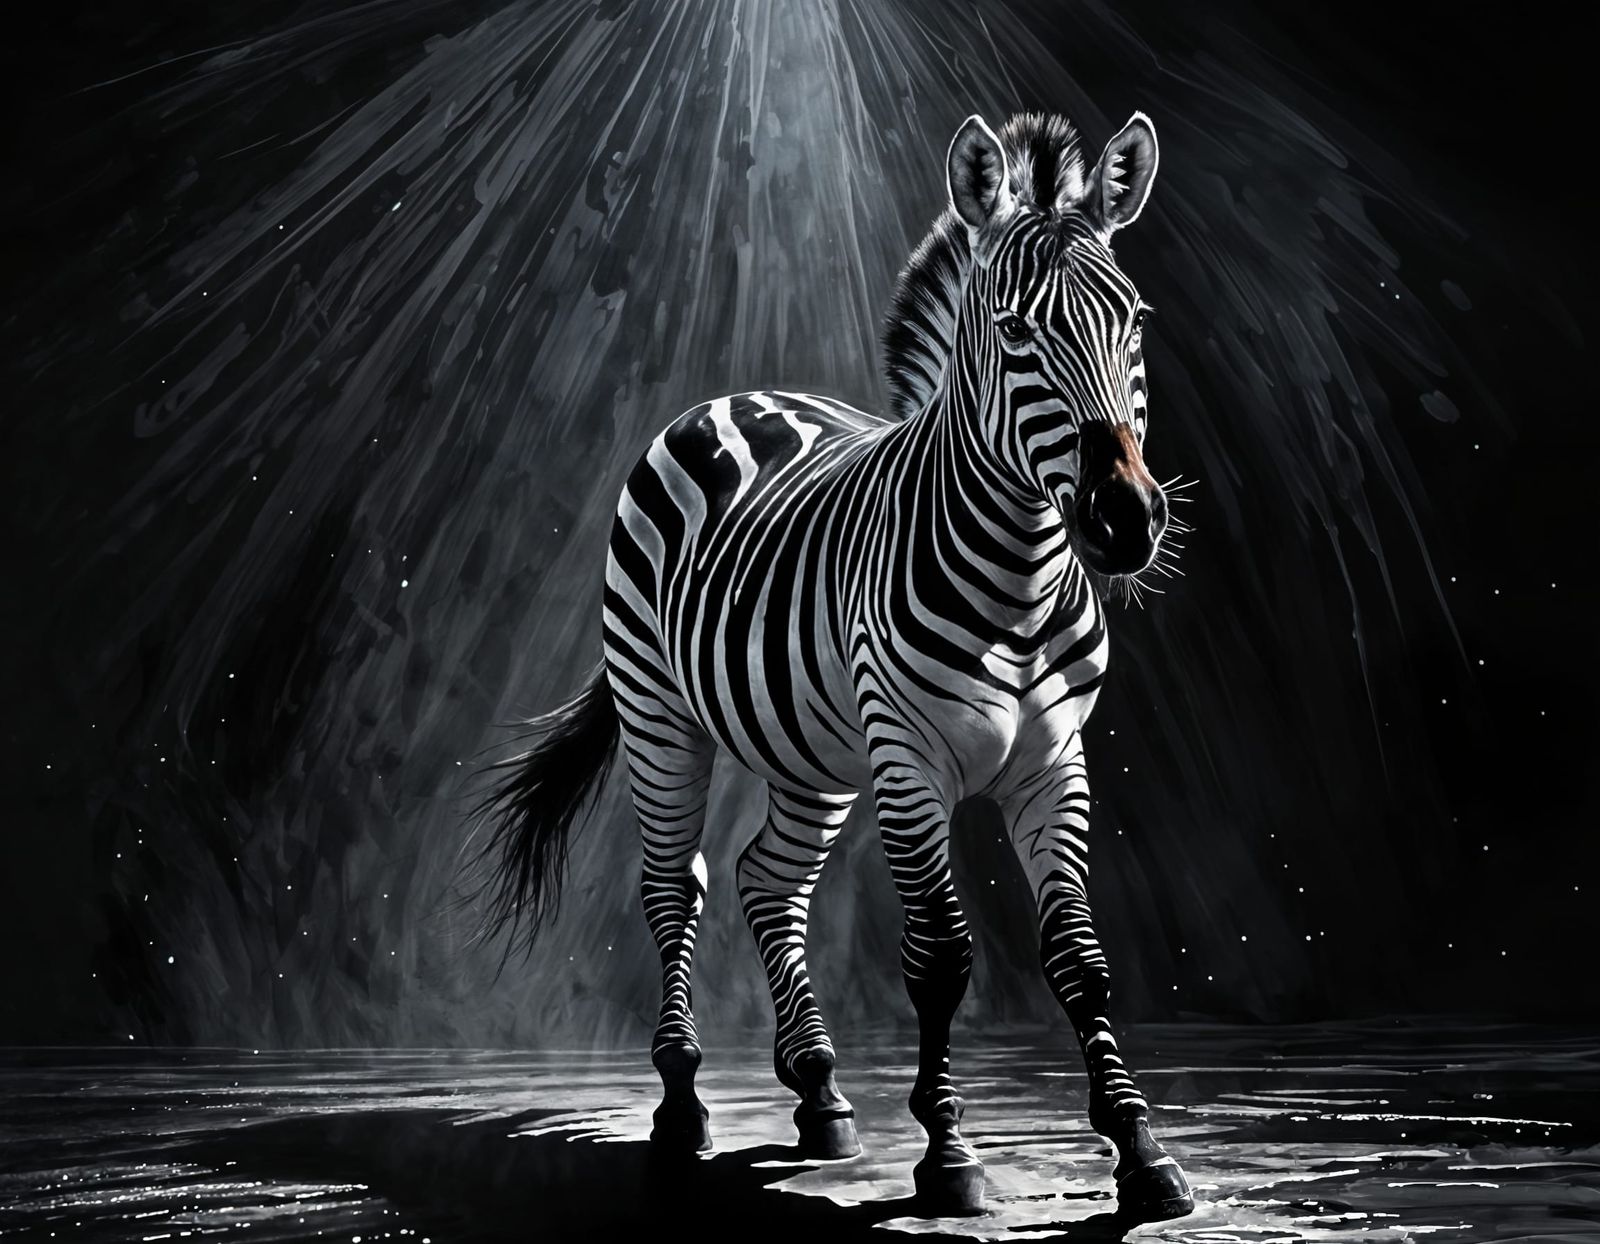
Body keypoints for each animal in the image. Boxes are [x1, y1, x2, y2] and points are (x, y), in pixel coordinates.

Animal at [475, 109, 1193, 1223]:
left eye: (1136, 318)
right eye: (1014, 330)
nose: (1126, 518)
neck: (1021, 584)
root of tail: (735, 396)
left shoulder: (1055, 762)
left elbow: (1080, 956)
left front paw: (1141, 1150)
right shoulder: (909, 760)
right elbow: (939, 955)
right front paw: (947, 1155)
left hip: (811, 754)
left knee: (766, 878)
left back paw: (817, 1089)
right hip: (660, 715)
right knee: (674, 883)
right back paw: (682, 1101)